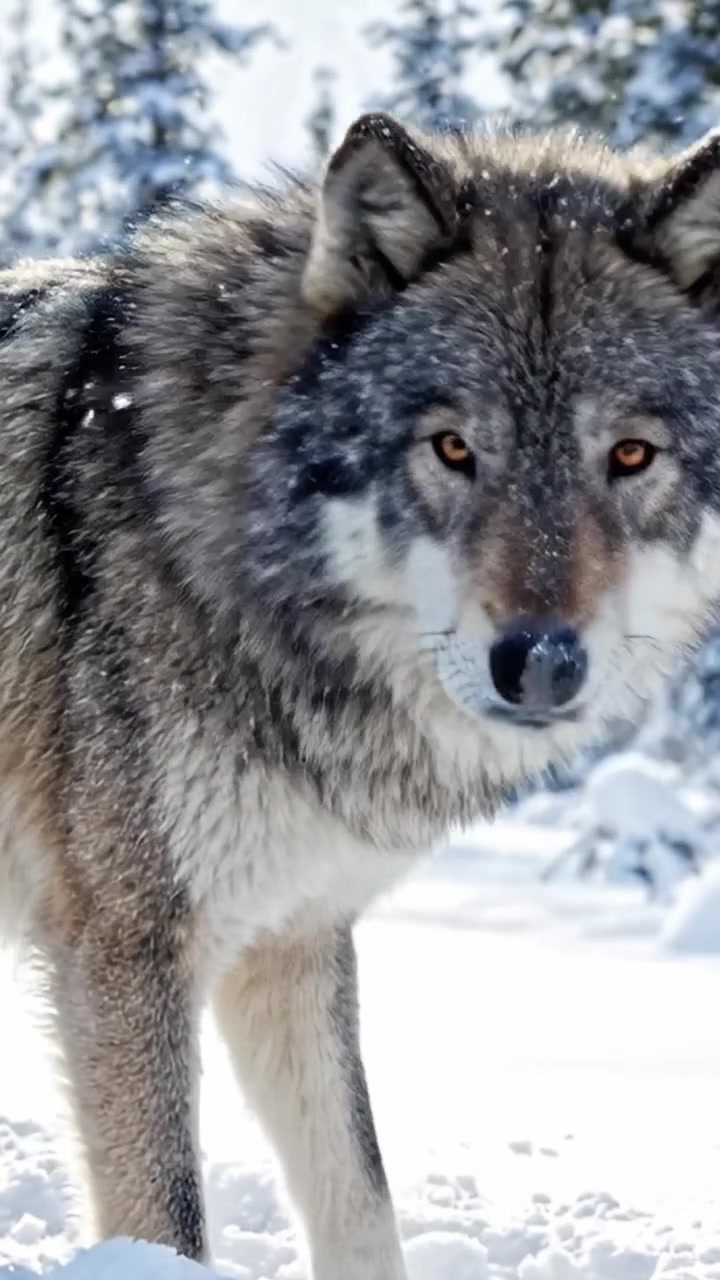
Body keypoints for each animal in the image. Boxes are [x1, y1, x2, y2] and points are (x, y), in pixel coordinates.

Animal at [2, 109, 720, 1279]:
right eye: (452, 447)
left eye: (629, 454)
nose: (541, 661)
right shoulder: (125, 944)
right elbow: (171, 1218)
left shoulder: (293, 935)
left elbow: (360, 1196)